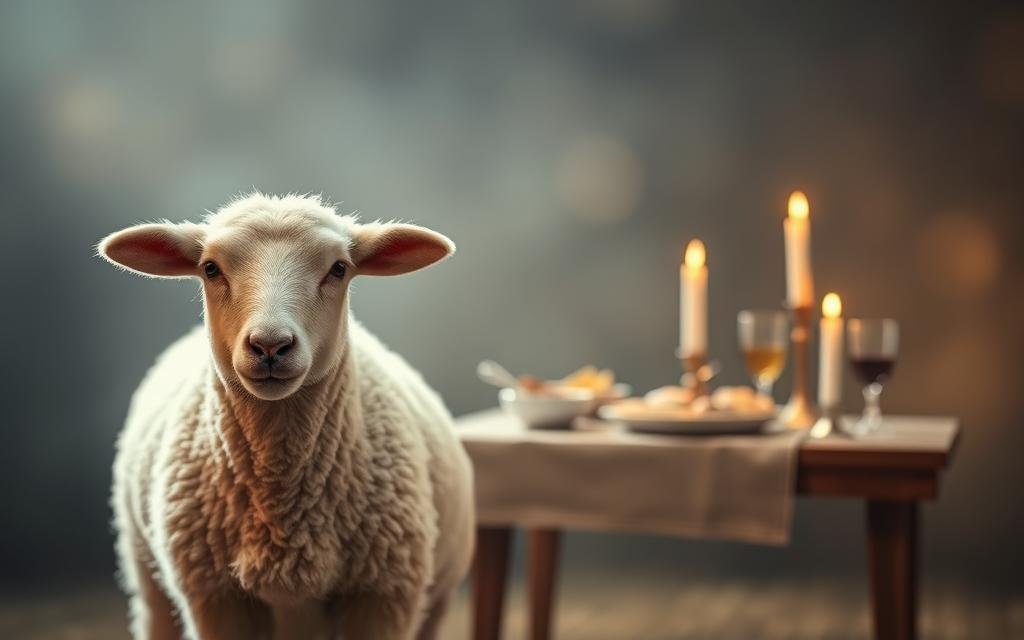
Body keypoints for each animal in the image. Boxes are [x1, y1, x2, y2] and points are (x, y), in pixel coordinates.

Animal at [98, 192, 475, 640]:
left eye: (339, 268)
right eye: (210, 268)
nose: (270, 345)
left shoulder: (381, 596)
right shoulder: (217, 598)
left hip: (437, 594)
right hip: (147, 574)